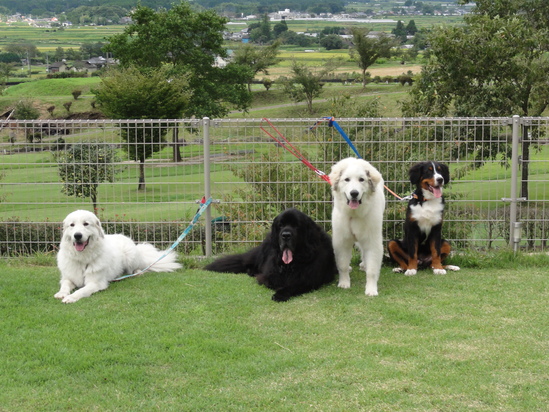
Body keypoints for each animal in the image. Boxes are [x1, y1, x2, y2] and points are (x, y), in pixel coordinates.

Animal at [330, 158, 386, 296]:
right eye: (347, 179)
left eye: (361, 179)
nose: (354, 193)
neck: (354, 214)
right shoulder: (342, 241)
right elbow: (343, 265)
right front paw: (344, 283)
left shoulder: (372, 241)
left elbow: (372, 270)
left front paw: (371, 289)